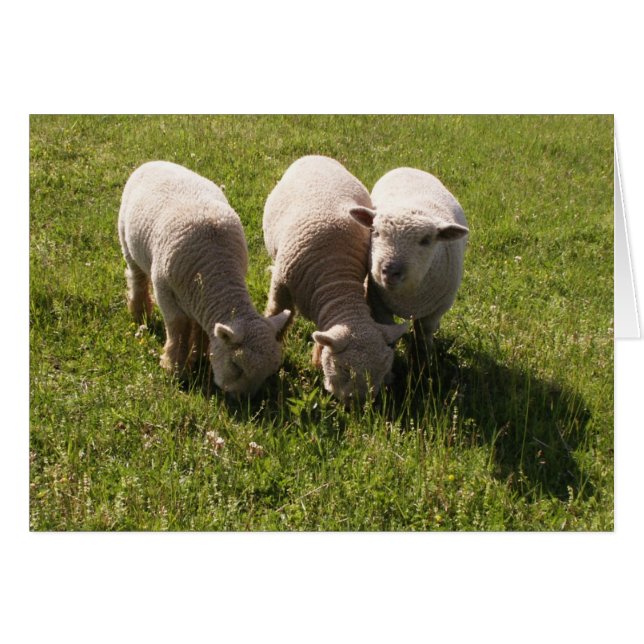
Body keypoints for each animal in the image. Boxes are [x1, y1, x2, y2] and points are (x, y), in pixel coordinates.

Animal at [118, 160, 291, 397]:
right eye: (236, 366)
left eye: (269, 373)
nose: (242, 400)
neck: (216, 272)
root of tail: (153, 162)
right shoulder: (166, 296)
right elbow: (177, 331)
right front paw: (175, 368)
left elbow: (200, 330)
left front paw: (198, 356)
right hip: (127, 245)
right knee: (137, 279)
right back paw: (139, 312)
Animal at [262, 155, 408, 404]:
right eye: (345, 369)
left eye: (381, 371)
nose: (358, 405)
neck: (336, 280)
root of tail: (317, 155)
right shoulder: (282, 285)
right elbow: (278, 313)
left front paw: (317, 358)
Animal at [350, 167, 469, 353]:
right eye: (375, 232)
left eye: (426, 240)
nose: (390, 271)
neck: (407, 298)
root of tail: (411, 168)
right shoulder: (378, 302)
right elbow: (388, 327)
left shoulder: (439, 308)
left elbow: (424, 332)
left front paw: (425, 354)